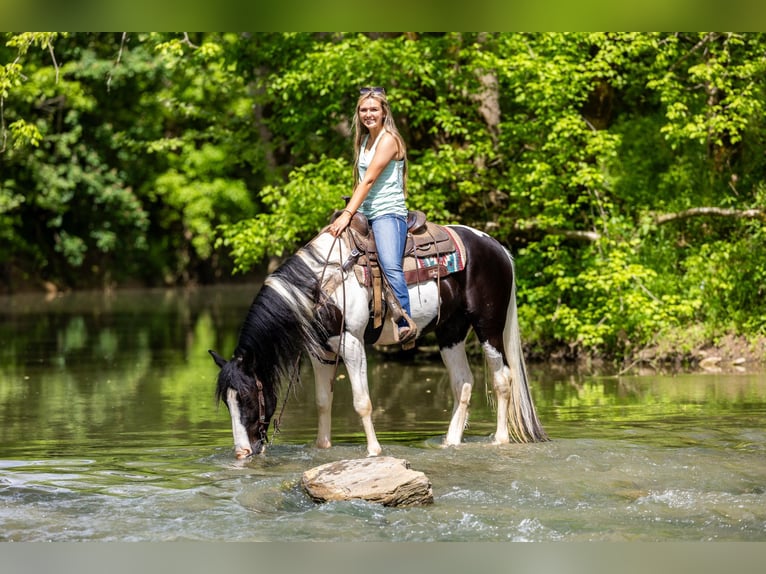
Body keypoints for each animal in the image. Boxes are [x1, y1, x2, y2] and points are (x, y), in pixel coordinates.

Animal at [208, 218, 544, 462]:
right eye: (227, 402)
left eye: (247, 398)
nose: (242, 453)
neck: (320, 286)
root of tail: (497, 246)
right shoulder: (321, 353)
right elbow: (322, 401)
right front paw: (322, 448)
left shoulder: (351, 344)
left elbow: (362, 402)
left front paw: (374, 451)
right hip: (450, 330)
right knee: (463, 382)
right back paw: (450, 443)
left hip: (488, 326)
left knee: (503, 379)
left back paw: (499, 440)